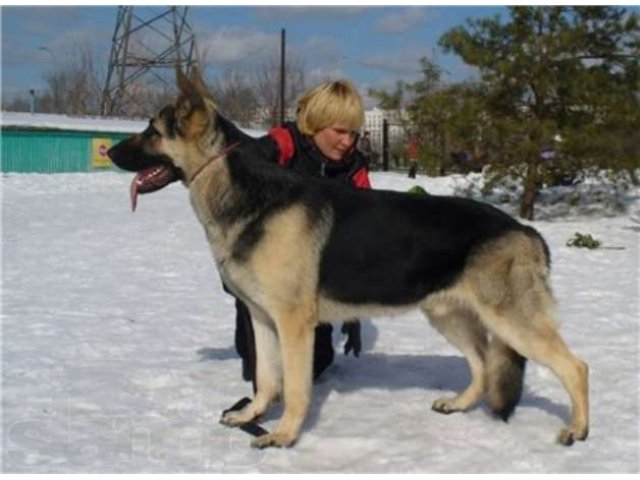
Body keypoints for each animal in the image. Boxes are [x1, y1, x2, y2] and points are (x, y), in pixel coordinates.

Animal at [106, 67, 592, 450]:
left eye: (151, 130)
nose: (108, 151)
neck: (247, 193)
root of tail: (527, 231)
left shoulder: (294, 325)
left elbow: (294, 388)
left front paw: (284, 435)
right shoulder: (262, 319)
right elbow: (266, 378)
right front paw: (252, 416)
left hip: (512, 321)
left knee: (574, 366)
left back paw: (578, 430)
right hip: (449, 315)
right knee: (484, 363)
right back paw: (458, 404)